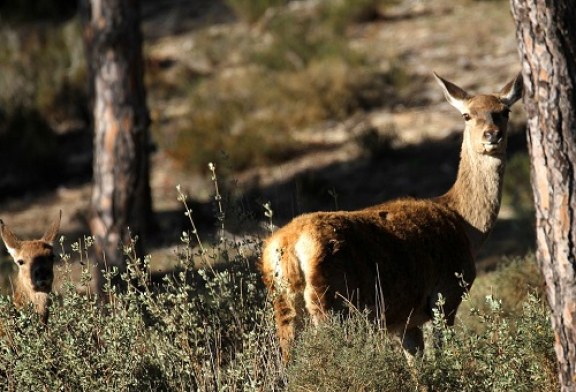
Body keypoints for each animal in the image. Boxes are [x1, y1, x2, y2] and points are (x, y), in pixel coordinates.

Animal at [264, 71, 524, 362]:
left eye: (505, 111)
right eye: (466, 115)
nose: (492, 135)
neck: (464, 223)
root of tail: (288, 245)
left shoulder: (405, 321)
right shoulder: (445, 294)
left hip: (284, 304)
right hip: (333, 302)